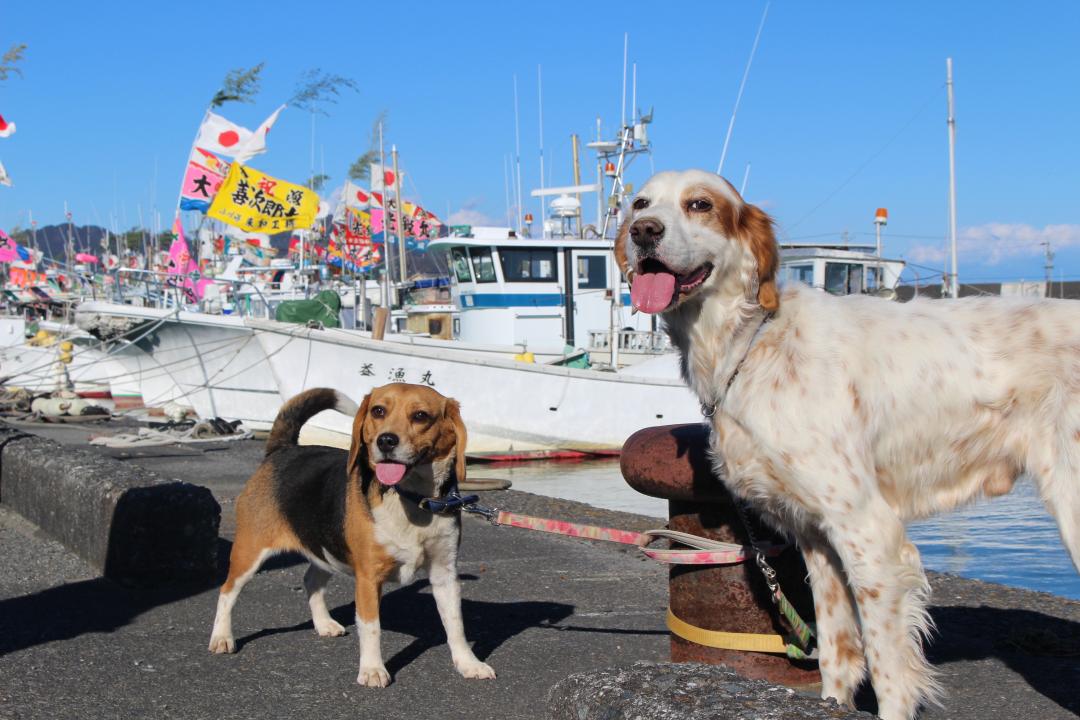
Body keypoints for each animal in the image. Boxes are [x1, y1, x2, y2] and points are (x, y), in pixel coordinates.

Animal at [208, 382, 494, 686]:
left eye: (420, 416)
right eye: (378, 410)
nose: (386, 441)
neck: (412, 498)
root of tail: (283, 450)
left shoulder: (445, 573)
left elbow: (456, 626)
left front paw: (468, 664)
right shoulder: (368, 577)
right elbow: (371, 627)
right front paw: (372, 670)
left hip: (325, 549)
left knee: (311, 580)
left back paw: (323, 624)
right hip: (249, 553)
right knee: (227, 592)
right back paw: (222, 637)